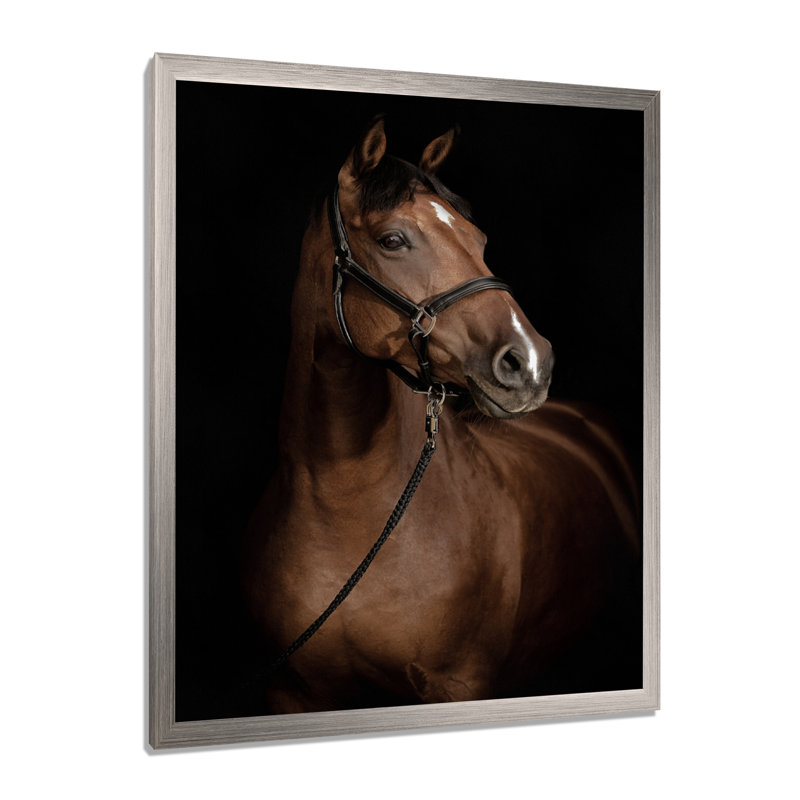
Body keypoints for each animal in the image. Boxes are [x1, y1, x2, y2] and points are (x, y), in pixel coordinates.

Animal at [242, 118, 640, 714]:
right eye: (392, 240)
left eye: (478, 240)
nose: (531, 361)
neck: (343, 501)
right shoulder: (290, 692)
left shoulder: (457, 685)